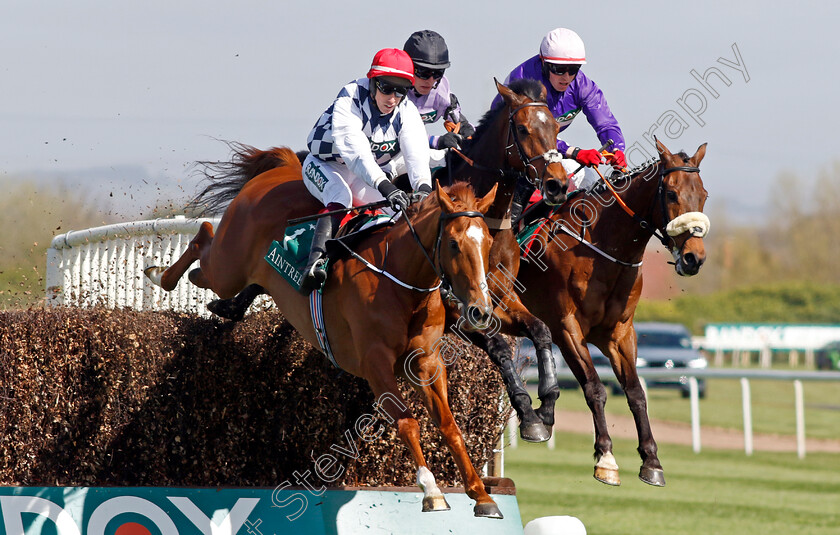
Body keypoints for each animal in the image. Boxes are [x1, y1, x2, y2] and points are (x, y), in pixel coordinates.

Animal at [144, 147, 506, 520]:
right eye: (453, 243)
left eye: (488, 242)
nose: (480, 310)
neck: (401, 278)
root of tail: (285, 166)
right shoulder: (375, 362)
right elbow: (408, 422)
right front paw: (432, 490)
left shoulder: (427, 361)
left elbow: (450, 427)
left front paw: (482, 495)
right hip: (229, 267)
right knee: (203, 237)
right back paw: (159, 274)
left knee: (207, 262)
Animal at [520, 139, 708, 490]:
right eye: (671, 193)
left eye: (703, 194)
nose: (694, 258)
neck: (604, 247)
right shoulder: (567, 328)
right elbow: (595, 388)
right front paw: (606, 458)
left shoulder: (620, 333)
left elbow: (636, 393)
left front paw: (651, 461)